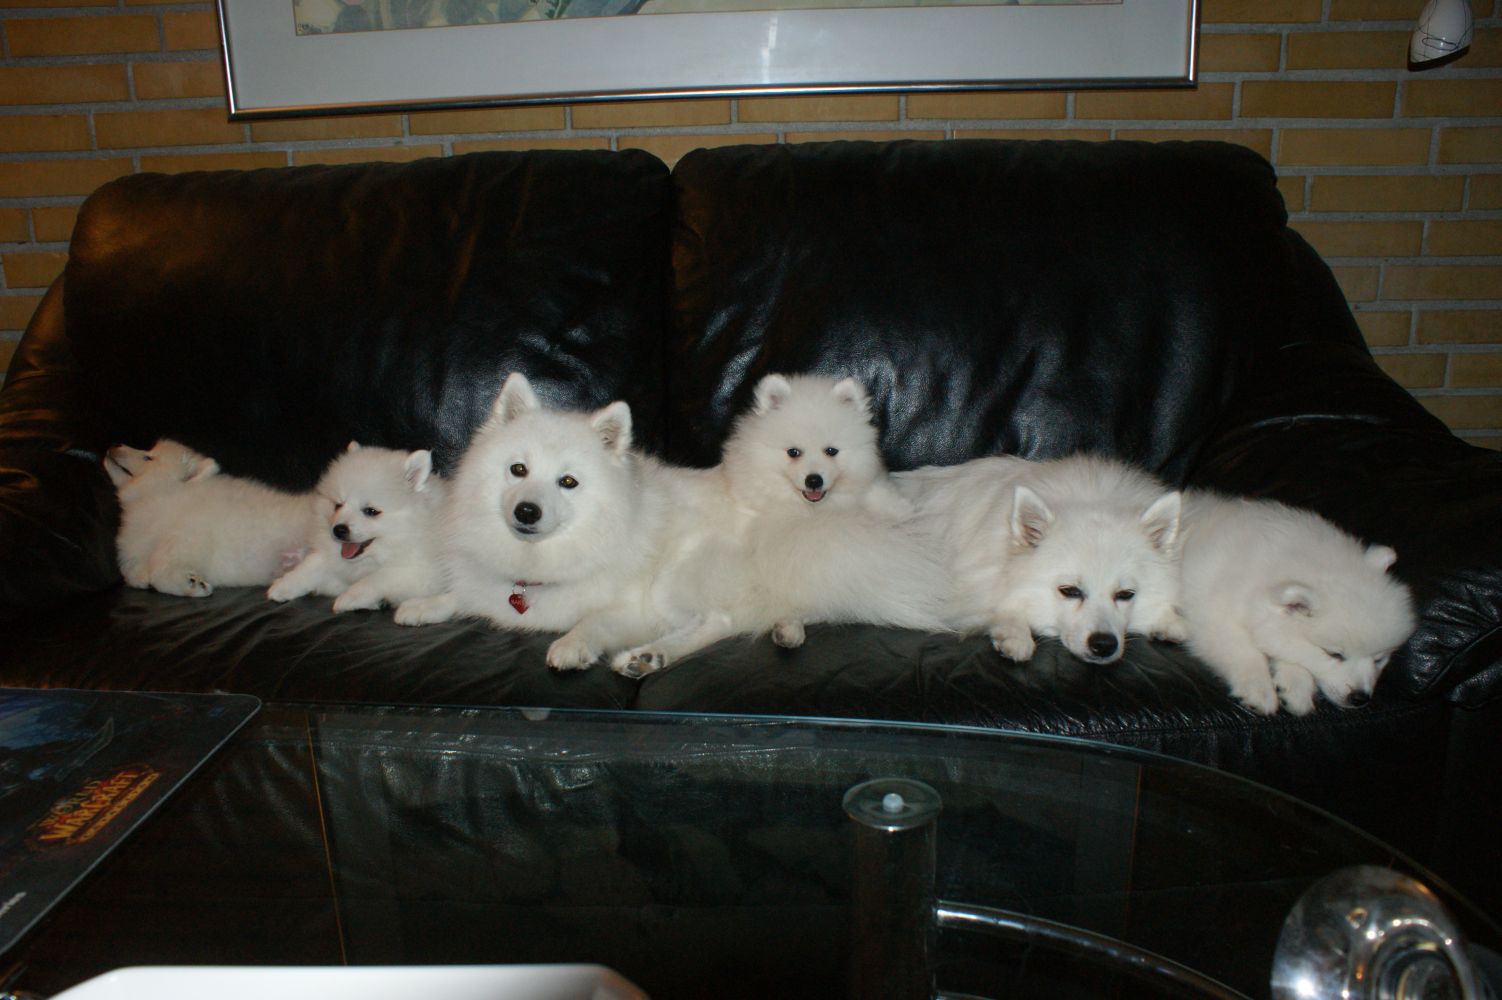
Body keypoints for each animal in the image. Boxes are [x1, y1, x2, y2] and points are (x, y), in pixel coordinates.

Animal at [105, 439, 315, 597]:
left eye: (148, 457)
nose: (114, 444)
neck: (160, 496)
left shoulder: (188, 537)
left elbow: (159, 568)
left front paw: (191, 584)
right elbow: (131, 572)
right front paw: (143, 578)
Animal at [266, 442, 445, 612]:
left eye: (371, 511)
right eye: (338, 505)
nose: (338, 530)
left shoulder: (416, 572)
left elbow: (376, 578)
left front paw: (348, 598)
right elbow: (312, 564)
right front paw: (283, 585)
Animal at [894, 453, 1187, 665]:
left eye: (1125, 594)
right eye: (1070, 591)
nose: (1104, 644)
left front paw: (1172, 623)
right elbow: (1002, 608)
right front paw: (1014, 635)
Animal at [1179, 492, 1416, 715]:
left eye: (1379, 659)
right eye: (1334, 654)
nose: (1360, 698)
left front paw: (1296, 687)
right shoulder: (1213, 618)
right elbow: (1244, 651)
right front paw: (1260, 690)